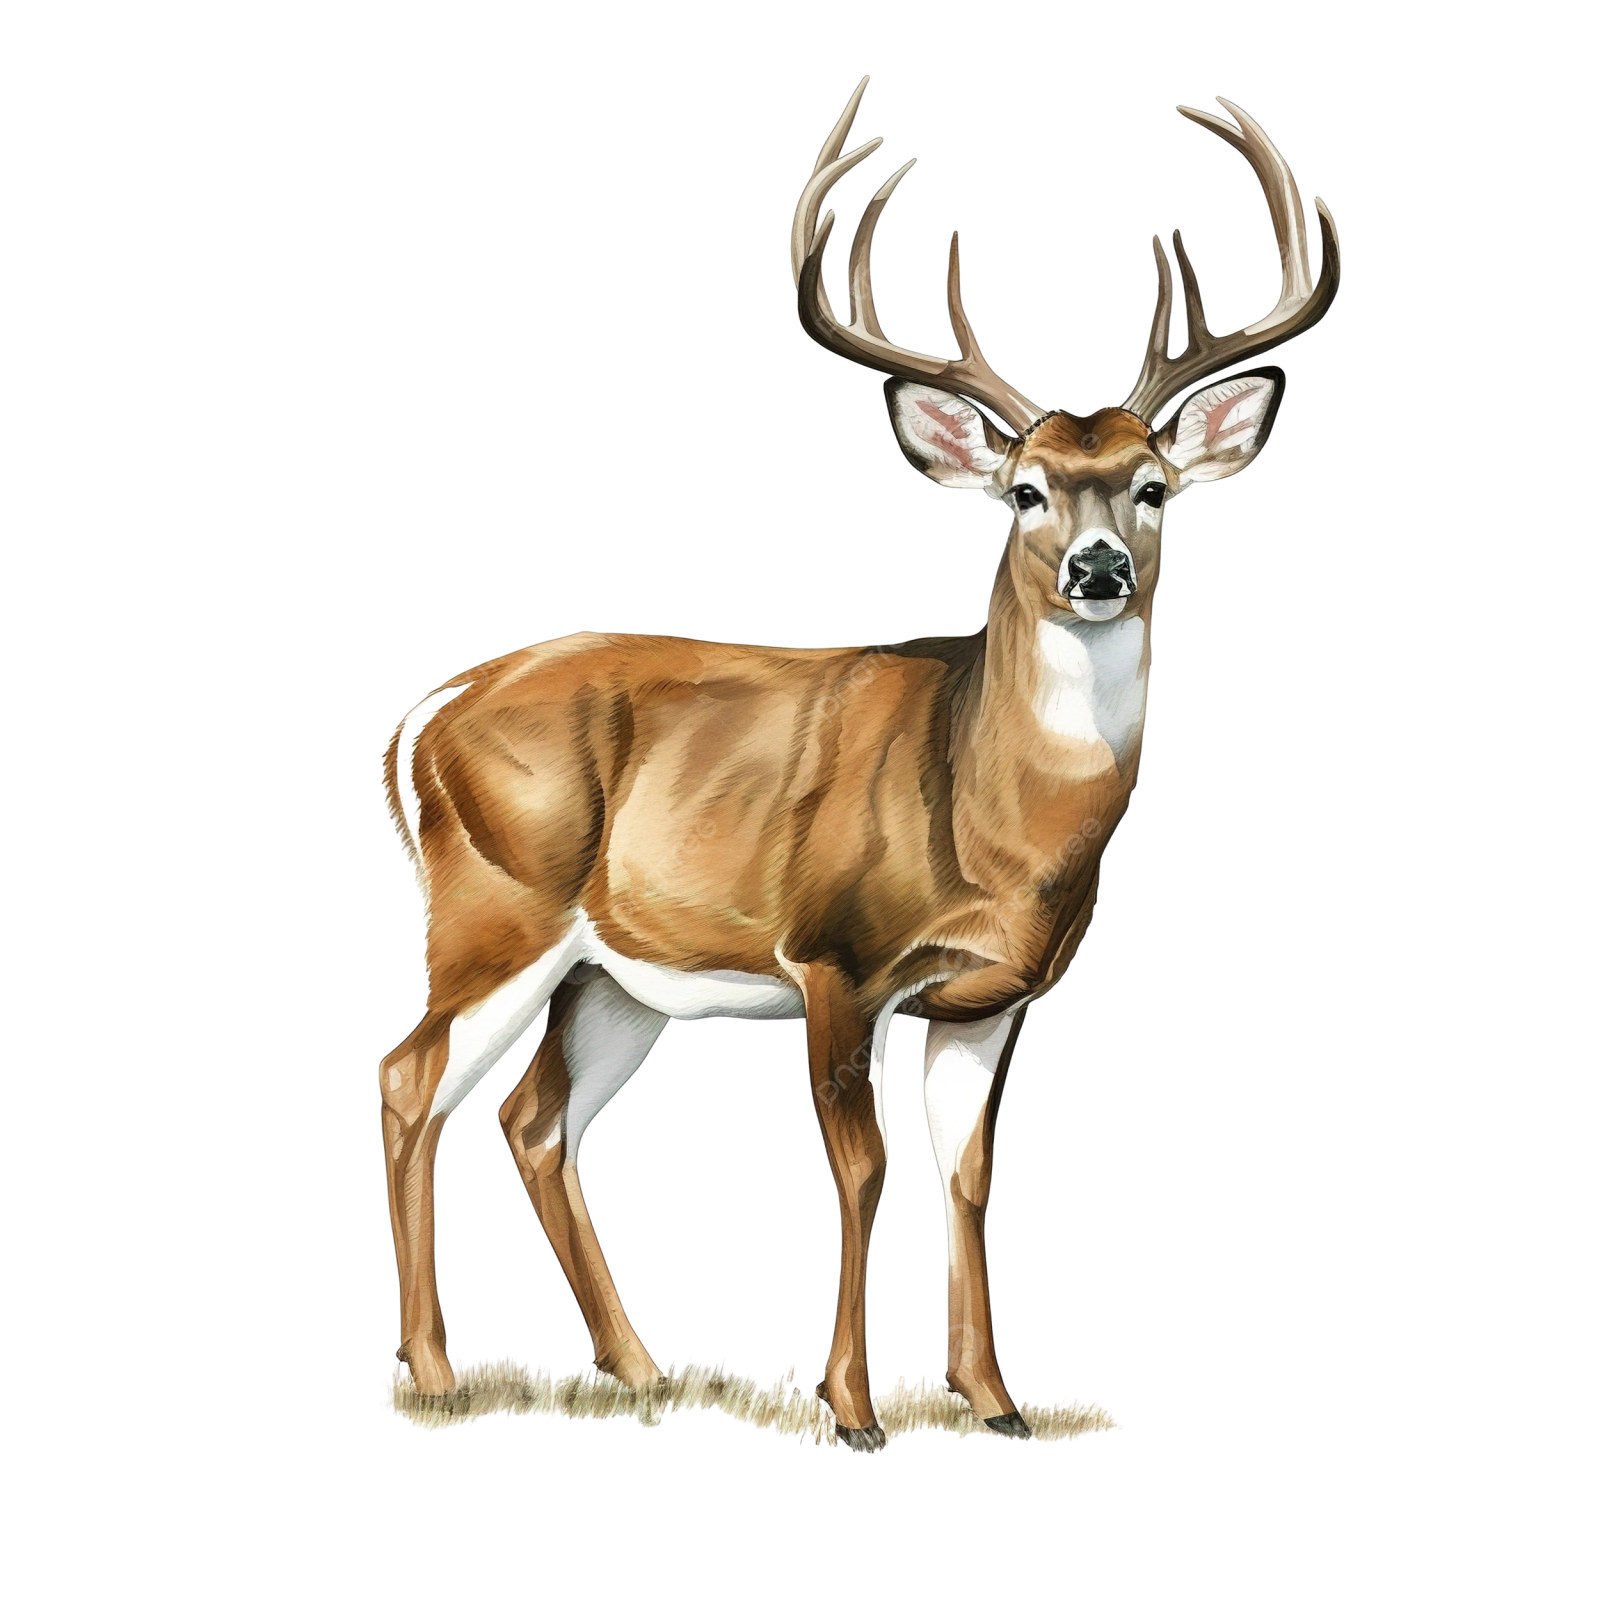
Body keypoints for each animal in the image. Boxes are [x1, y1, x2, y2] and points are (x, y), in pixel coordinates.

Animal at [377, 77, 1340, 1452]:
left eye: (1154, 488)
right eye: (1019, 493)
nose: (1098, 567)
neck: (992, 825)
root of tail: (441, 708)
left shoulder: (989, 999)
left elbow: (969, 1173)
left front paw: (994, 1398)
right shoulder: (834, 956)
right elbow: (864, 1163)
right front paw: (851, 1403)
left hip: (620, 971)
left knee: (534, 1117)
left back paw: (641, 1367)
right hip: (494, 907)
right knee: (414, 1080)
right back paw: (437, 1371)